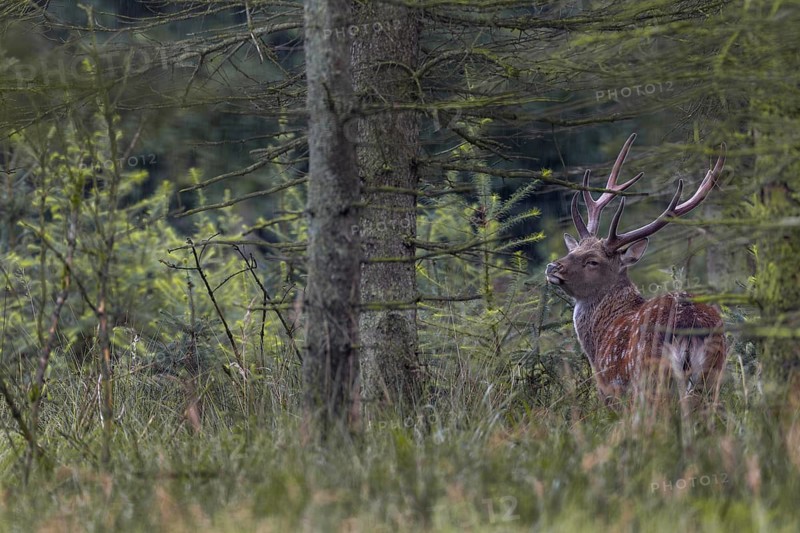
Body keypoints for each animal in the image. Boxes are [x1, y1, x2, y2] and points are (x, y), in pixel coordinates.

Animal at [545, 134, 727, 407]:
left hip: (648, 375)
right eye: (574, 249)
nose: (553, 266)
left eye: (593, 261)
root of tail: (690, 325)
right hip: (712, 374)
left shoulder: (610, 388)